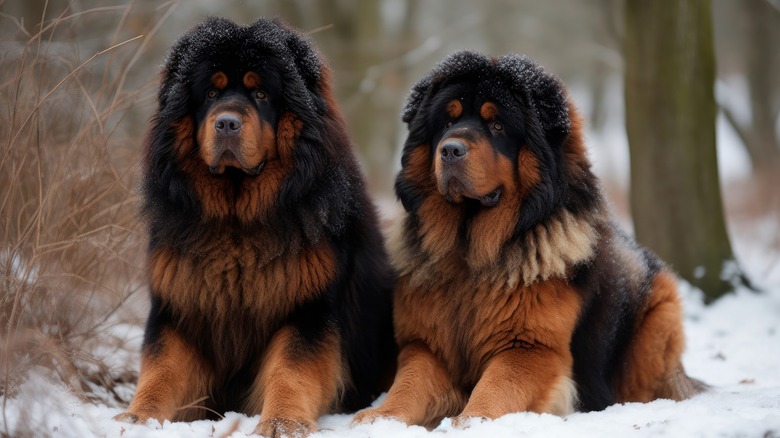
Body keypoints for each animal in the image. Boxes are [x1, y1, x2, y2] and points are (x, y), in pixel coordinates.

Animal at [114, 18, 396, 436]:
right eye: (211, 92)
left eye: (261, 93)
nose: (227, 122)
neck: (237, 220)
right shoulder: (178, 306)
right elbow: (162, 369)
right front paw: (138, 418)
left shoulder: (307, 310)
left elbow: (290, 369)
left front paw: (282, 421)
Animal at [350, 50, 704, 428]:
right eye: (447, 123)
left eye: (498, 126)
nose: (450, 150)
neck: (469, 250)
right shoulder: (426, 346)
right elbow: (409, 385)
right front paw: (380, 417)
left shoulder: (529, 348)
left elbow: (495, 388)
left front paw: (473, 421)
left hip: (657, 317)